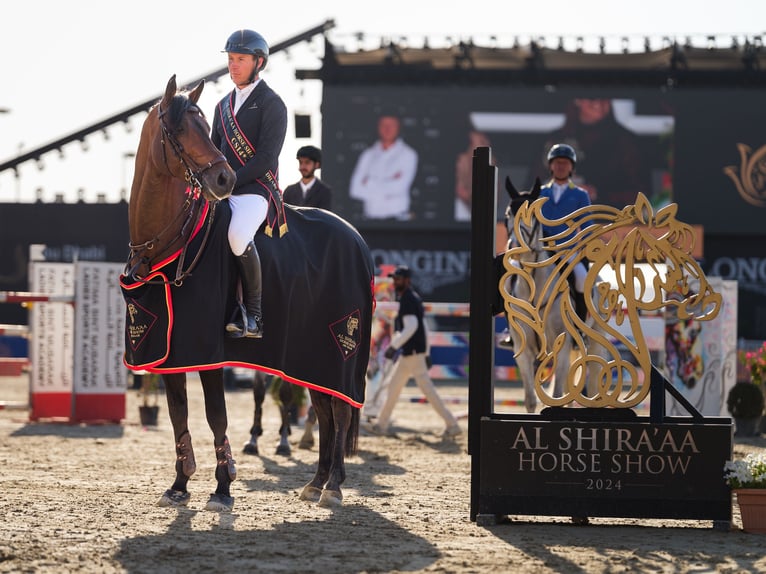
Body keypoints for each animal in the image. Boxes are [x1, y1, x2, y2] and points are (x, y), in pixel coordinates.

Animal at [121, 76, 374, 512]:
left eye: (205, 127)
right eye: (181, 129)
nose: (224, 179)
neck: (171, 243)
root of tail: (356, 239)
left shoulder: (207, 352)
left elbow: (216, 417)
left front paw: (223, 487)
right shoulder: (171, 353)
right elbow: (178, 415)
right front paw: (179, 484)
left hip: (341, 353)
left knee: (340, 411)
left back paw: (334, 487)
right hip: (312, 356)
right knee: (323, 410)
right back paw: (316, 483)